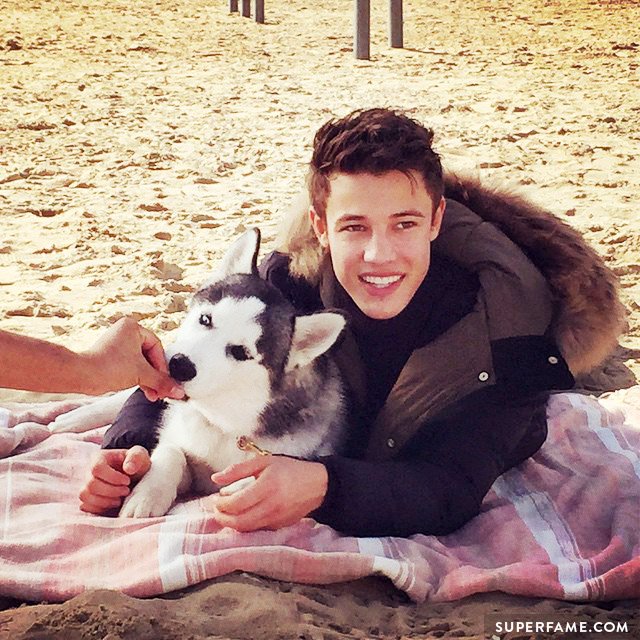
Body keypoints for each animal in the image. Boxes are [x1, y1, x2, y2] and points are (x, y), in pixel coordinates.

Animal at [53, 230, 348, 520]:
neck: (221, 425)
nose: (180, 366)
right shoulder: (180, 439)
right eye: (206, 319)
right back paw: (73, 418)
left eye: (240, 352)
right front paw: (147, 495)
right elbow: (172, 453)